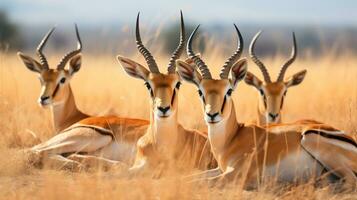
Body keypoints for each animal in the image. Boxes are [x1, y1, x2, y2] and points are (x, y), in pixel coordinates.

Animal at [175, 25, 356, 188]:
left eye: (229, 90)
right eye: (200, 91)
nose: (212, 115)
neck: (231, 139)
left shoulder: (235, 174)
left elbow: (195, 182)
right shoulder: (219, 169)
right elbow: (186, 177)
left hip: (310, 138)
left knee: (350, 181)